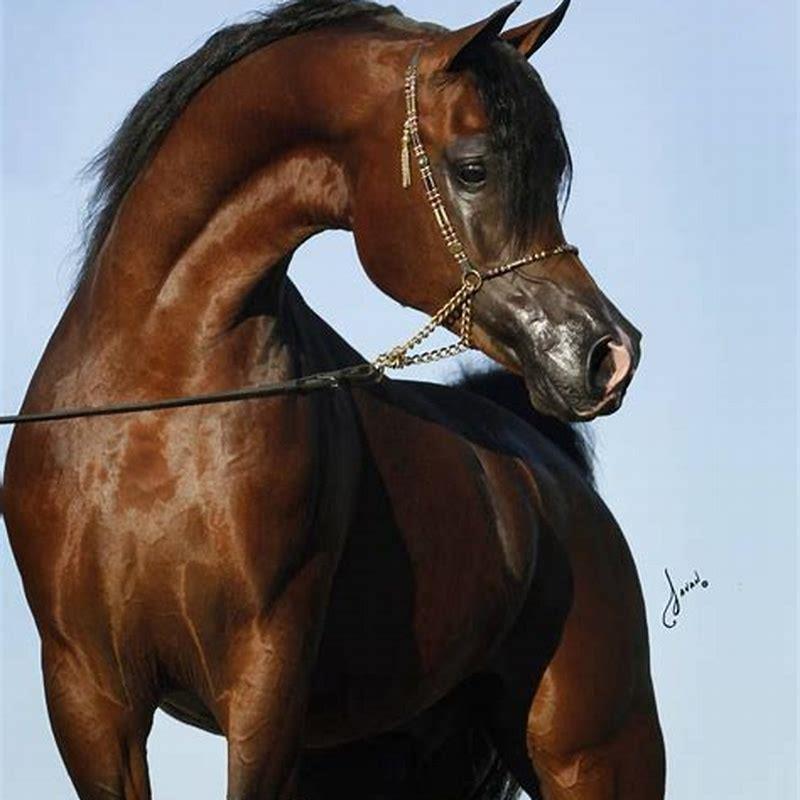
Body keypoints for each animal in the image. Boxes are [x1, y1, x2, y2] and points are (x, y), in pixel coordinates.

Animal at [2, 1, 665, 797]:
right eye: (473, 168)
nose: (607, 354)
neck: (151, 413)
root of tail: (552, 485)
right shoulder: (90, 693)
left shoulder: (264, 684)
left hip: (595, 756)